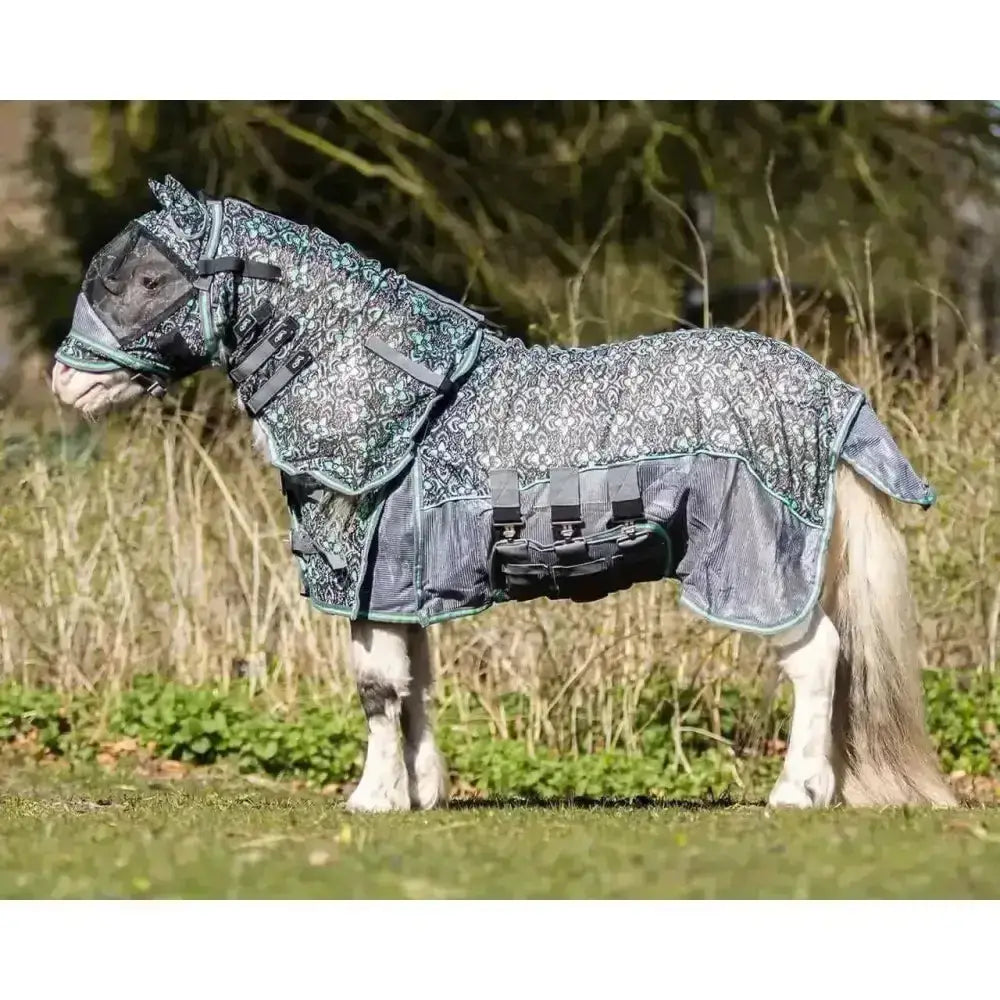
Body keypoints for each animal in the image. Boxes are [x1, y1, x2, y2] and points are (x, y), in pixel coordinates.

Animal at [50, 175, 957, 812]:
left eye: (146, 279)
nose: (66, 384)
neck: (394, 397)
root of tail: (829, 396)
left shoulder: (366, 574)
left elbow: (375, 685)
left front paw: (373, 798)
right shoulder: (402, 580)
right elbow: (414, 681)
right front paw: (421, 791)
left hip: (762, 571)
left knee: (818, 661)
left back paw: (797, 791)